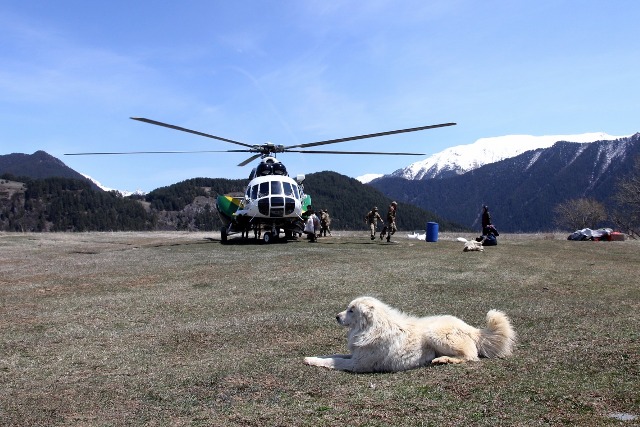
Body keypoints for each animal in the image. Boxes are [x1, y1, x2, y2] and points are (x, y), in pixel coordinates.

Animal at [302, 298, 516, 374]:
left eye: (351, 310)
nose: (336, 316)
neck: (370, 329)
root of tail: (471, 328)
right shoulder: (355, 355)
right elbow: (334, 355)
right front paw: (315, 356)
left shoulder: (358, 364)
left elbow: (332, 361)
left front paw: (310, 360)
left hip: (434, 333)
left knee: (470, 356)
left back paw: (444, 360)